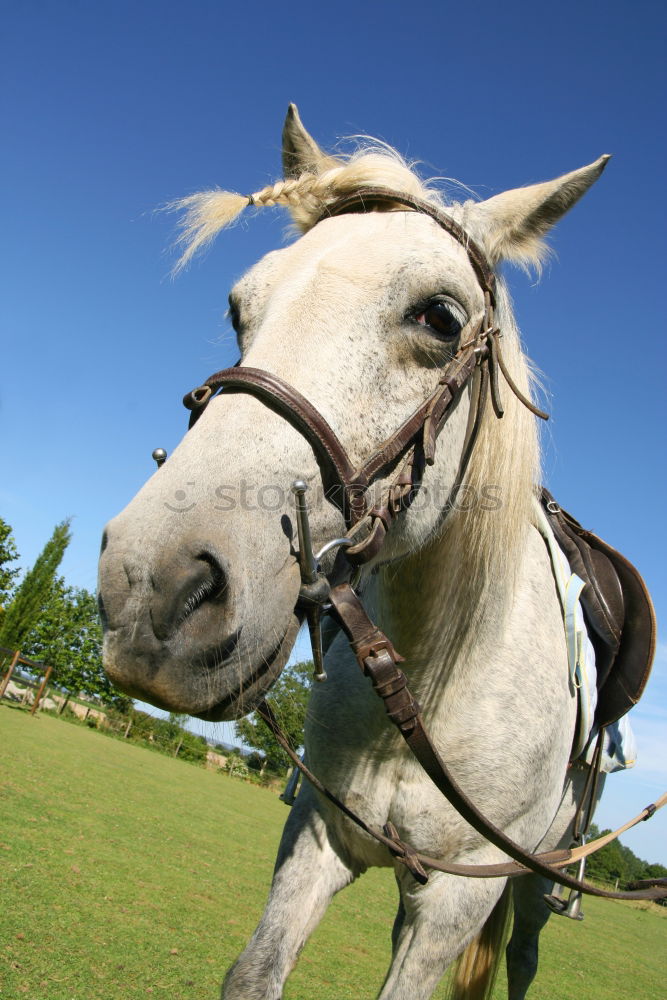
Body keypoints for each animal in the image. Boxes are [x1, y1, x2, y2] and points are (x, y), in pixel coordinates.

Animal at [96, 105, 624, 996]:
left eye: (439, 318)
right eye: (238, 308)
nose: (153, 590)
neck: (431, 683)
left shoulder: (454, 899)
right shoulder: (318, 833)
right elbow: (255, 970)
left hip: (532, 881)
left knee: (521, 957)